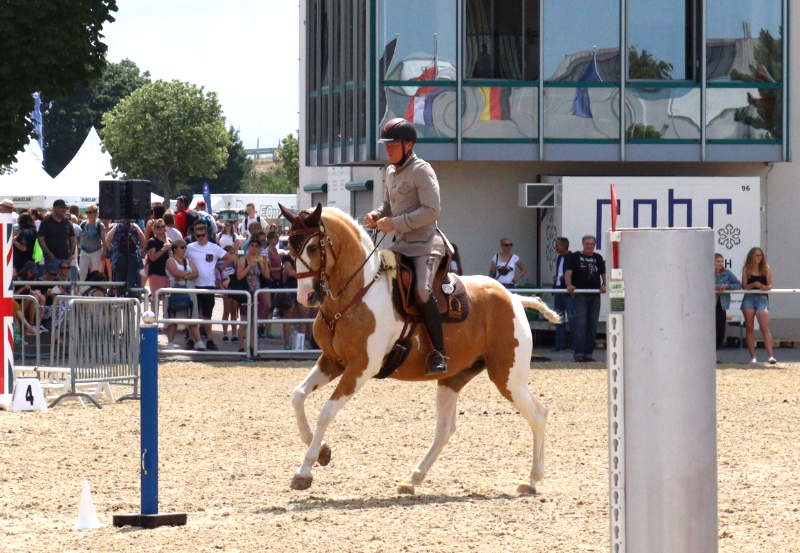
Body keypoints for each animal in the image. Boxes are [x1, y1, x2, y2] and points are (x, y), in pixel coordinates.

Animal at [280, 203, 561, 494]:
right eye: (289, 248)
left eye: (314, 247)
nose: (306, 297)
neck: (358, 293)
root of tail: (513, 299)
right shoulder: (332, 361)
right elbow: (297, 396)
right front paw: (322, 452)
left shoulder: (360, 368)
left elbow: (326, 413)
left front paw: (305, 470)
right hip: (453, 379)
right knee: (445, 429)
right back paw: (413, 478)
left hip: (508, 377)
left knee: (538, 414)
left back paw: (532, 479)